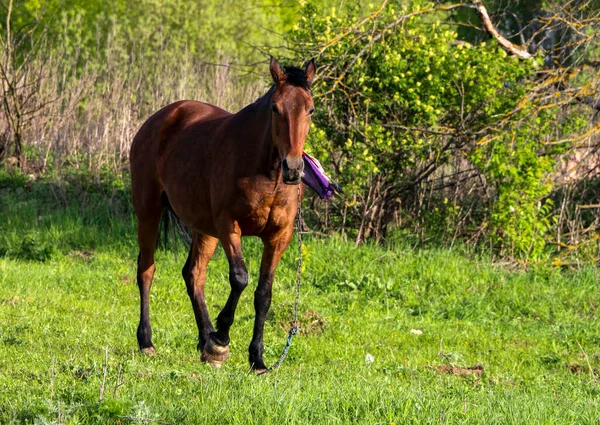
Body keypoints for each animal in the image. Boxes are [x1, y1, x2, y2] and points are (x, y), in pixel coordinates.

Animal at [129, 56, 316, 372]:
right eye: (275, 108)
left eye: (311, 109)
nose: (292, 168)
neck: (265, 174)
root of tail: (158, 119)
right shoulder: (230, 225)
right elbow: (240, 278)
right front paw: (222, 338)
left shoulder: (279, 236)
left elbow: (264, 293)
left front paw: (257, 359)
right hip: (149, 212)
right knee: (146, 270)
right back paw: (148, 341)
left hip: (204, 228)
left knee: (194, 274)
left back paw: (204, 338)